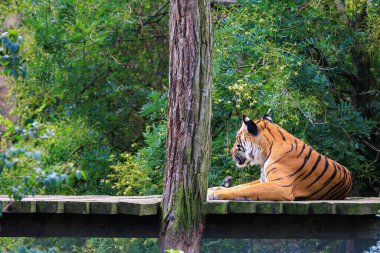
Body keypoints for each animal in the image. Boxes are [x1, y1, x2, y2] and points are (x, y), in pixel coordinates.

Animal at [208, 113, 354, 201]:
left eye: (237, 139)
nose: (231, 152)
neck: (265, 152)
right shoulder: (263, 180)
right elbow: (241, 186)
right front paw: (214, 189)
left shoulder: (281, 186)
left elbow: (245, 190)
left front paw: (215, 194)